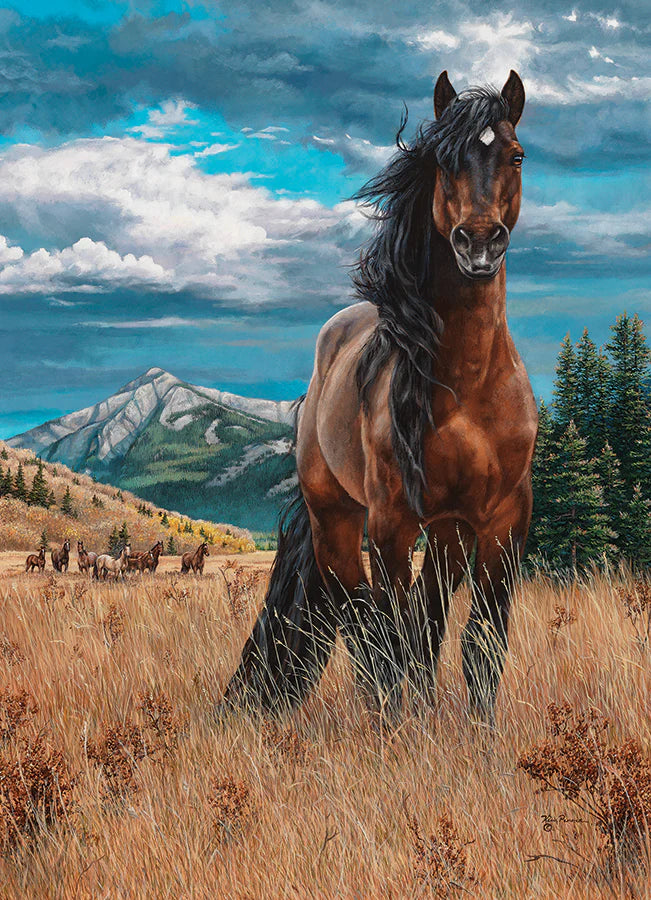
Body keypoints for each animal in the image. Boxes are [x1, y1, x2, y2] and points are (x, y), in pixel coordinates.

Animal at [223, 70, 537, 727]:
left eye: (516, 155)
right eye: (443, 162)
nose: (478, 243)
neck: (469, 386)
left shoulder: (504, 519)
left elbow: (480, 643)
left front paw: (478, 735)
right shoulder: (393, 521)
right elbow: (390, 632)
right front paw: (403, 730)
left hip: (447, 532)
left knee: (422, 623)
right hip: (338, 522)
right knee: (361, 617)